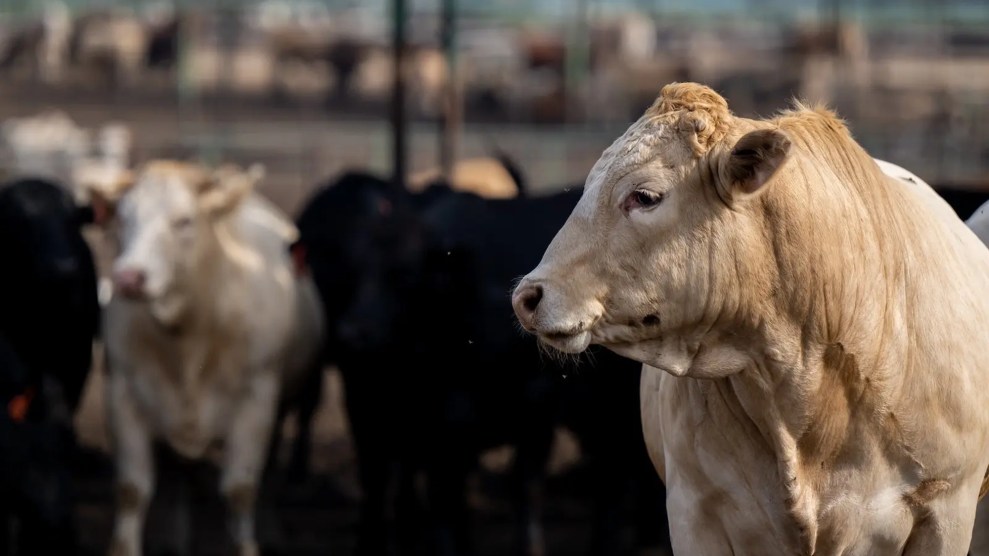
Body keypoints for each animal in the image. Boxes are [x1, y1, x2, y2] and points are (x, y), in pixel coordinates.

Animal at [90, 161, 325, 556]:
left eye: (184, 221)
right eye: (123, 218)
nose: (129, 277)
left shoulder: (256, 401)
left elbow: (240, 490)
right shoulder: (121, 393)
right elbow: (131, 490)